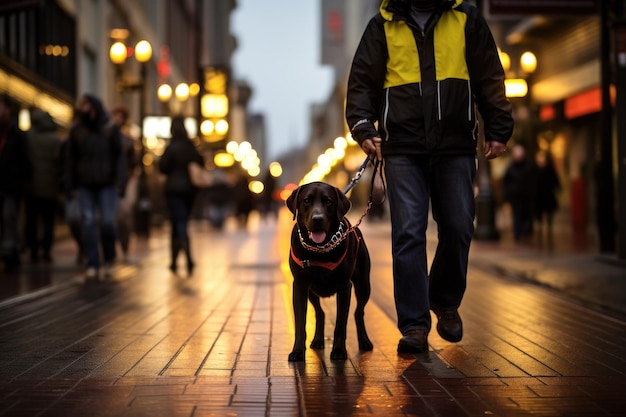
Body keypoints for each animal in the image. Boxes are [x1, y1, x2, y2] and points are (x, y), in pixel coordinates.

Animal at [286, 182, 370, 360]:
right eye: (307, 200)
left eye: (329, 201)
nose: (318, 219)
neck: (318, 249)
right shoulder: (300, 285)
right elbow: (300, 322)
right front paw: (297, 351)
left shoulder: (344, 286)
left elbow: (340, 322)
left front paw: (338, 350)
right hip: (312, 291)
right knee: (320, 313)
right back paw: (318, 340)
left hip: (363, 284)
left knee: (358, 313)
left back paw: (364, 341)